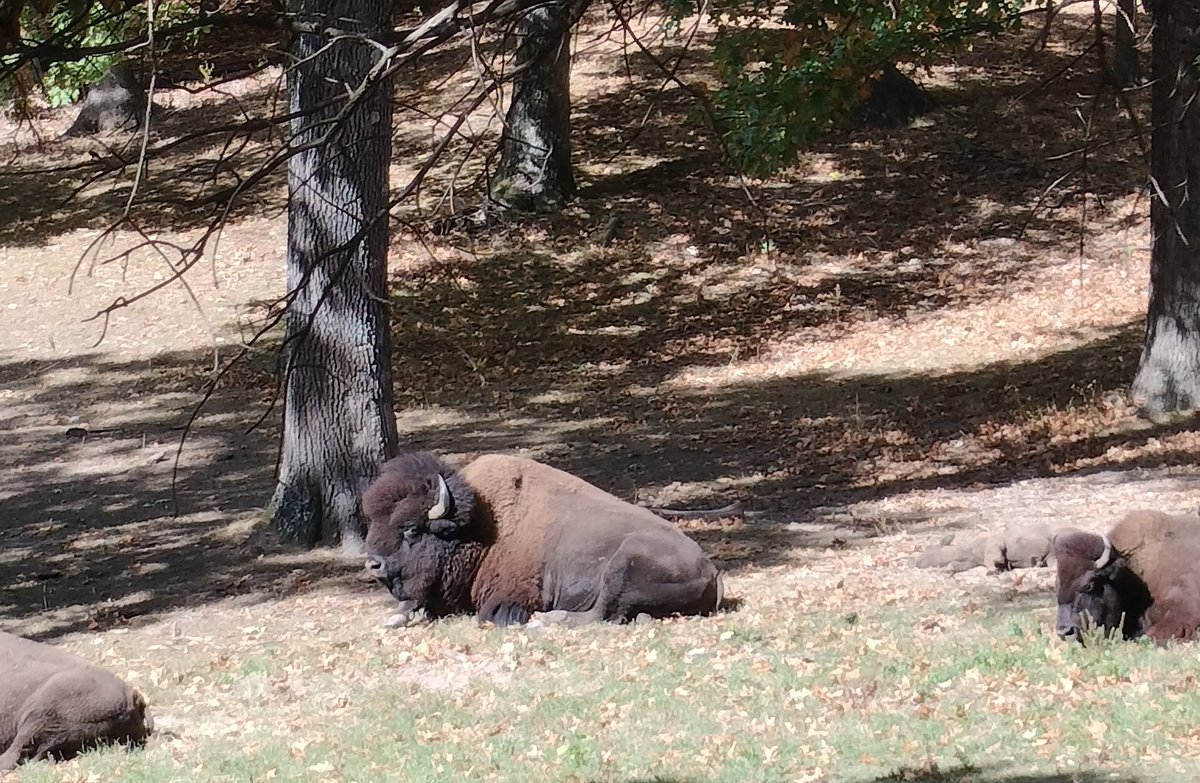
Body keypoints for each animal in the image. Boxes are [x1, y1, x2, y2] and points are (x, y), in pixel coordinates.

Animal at [361, 452, 724, 626]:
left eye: (411, 528)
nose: (373, 564)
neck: (481, 531)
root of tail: (712, 571)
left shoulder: (509, 599)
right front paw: (395, 618)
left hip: (623, 564)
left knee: (601, 613)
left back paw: (545, 620)